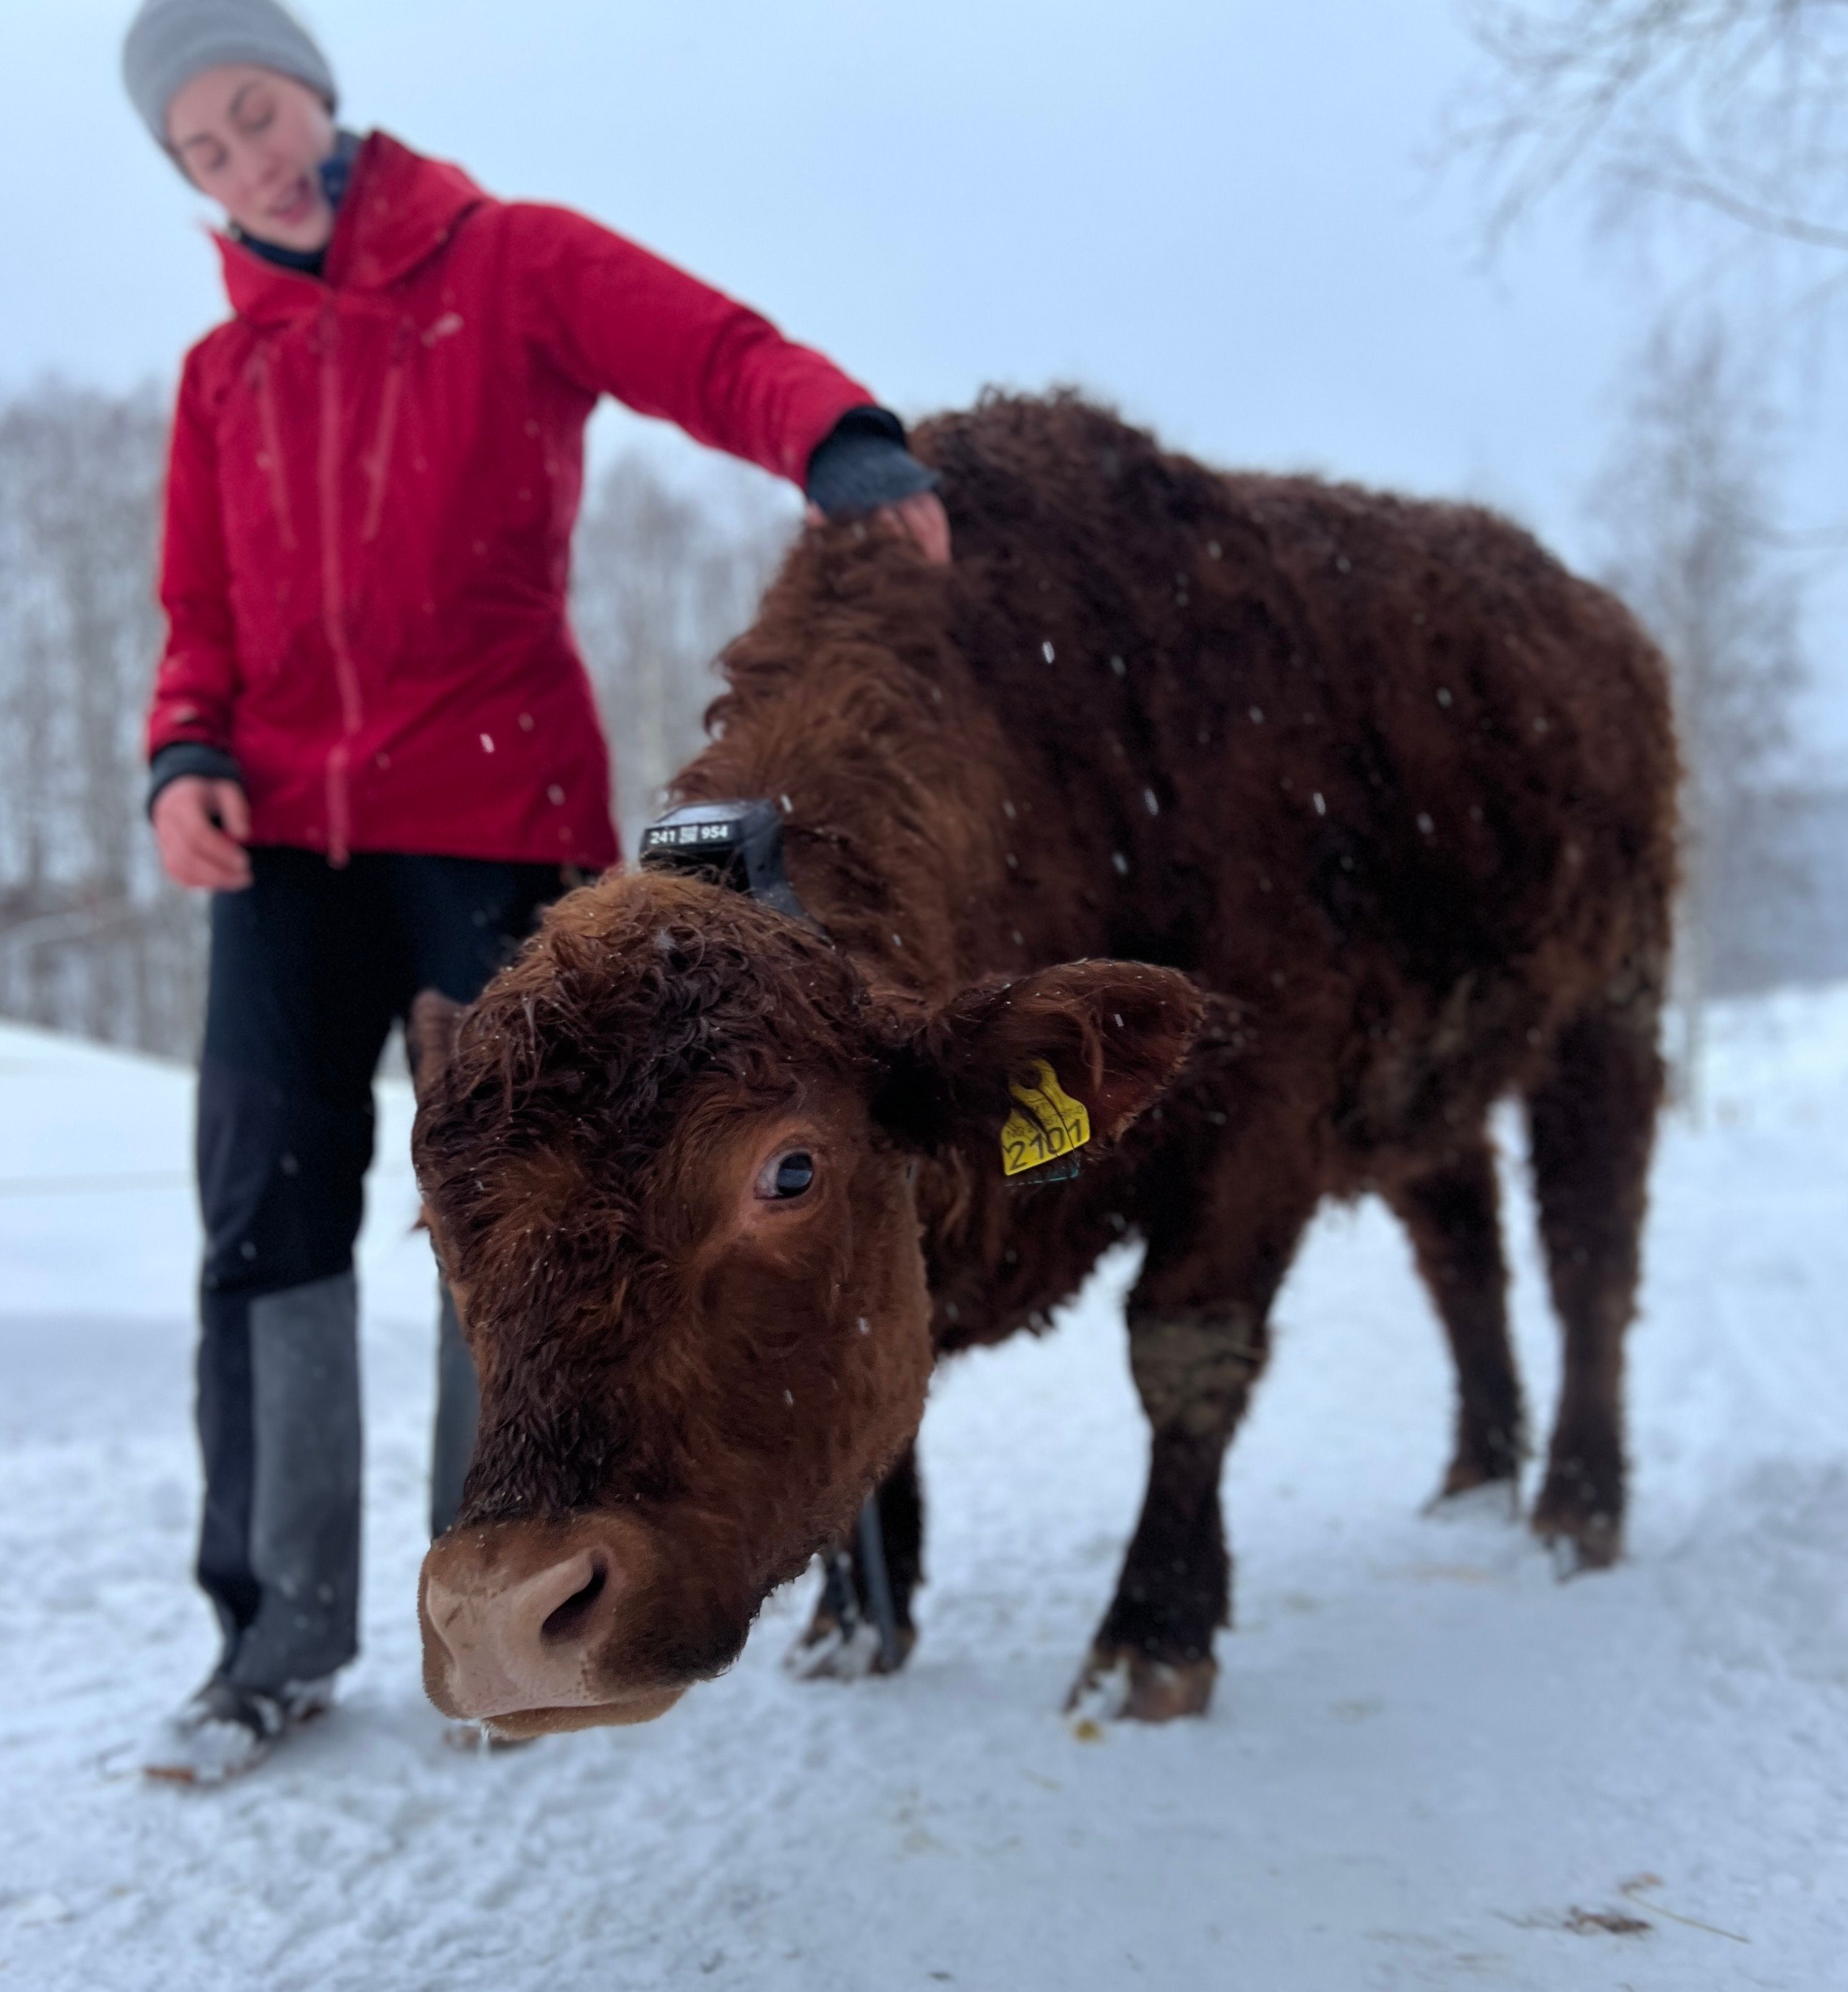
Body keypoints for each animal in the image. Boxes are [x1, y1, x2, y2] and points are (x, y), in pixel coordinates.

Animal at [412, 388, 1680, 1729]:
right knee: (1461, 1246)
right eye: (438, 1214)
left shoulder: (1256, 1114)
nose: (503, 1615)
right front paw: (853, 1624)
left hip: (1610, 1004)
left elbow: (1183, 1350)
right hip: (1424, 1082)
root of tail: (1598, 620)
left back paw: (1573, 1507)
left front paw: (1150, 1639)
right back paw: (1474, 1476)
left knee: (1587, 1245)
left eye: (789, 1169)